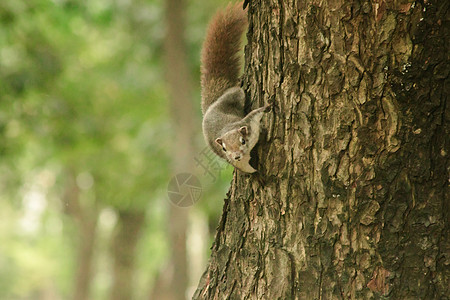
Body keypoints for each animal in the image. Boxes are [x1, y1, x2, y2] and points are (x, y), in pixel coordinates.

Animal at [201, 2, 270, 173]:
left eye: (242, 141)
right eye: (224, 148)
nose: (236, 156)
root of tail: (210, 106)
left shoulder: (249, 122)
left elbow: (256, 113)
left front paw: (268, 106)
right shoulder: (235, 161)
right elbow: (246, 168)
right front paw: (258, 174)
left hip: (236, 94)